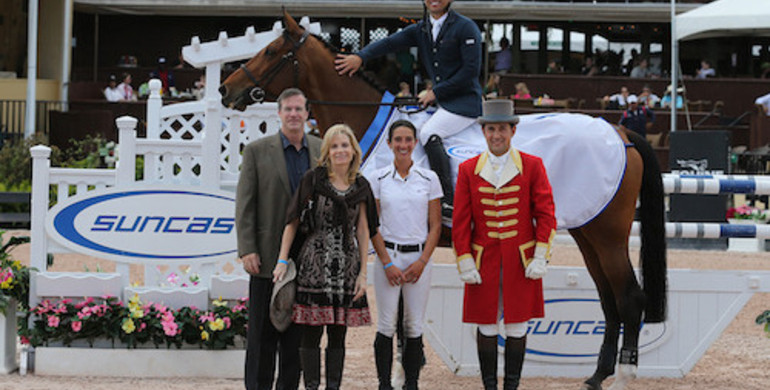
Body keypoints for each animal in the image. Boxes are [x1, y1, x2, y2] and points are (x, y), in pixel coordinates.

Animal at [219, 10, 664, 388]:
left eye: (271, 51)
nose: (226, 89)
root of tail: (620, 133)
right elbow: (401, 318)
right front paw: (403, 372)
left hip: (607, 234)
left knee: (628, 297)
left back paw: (623, 376)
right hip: (589, 231)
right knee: (609, 300)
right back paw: (597, 374)